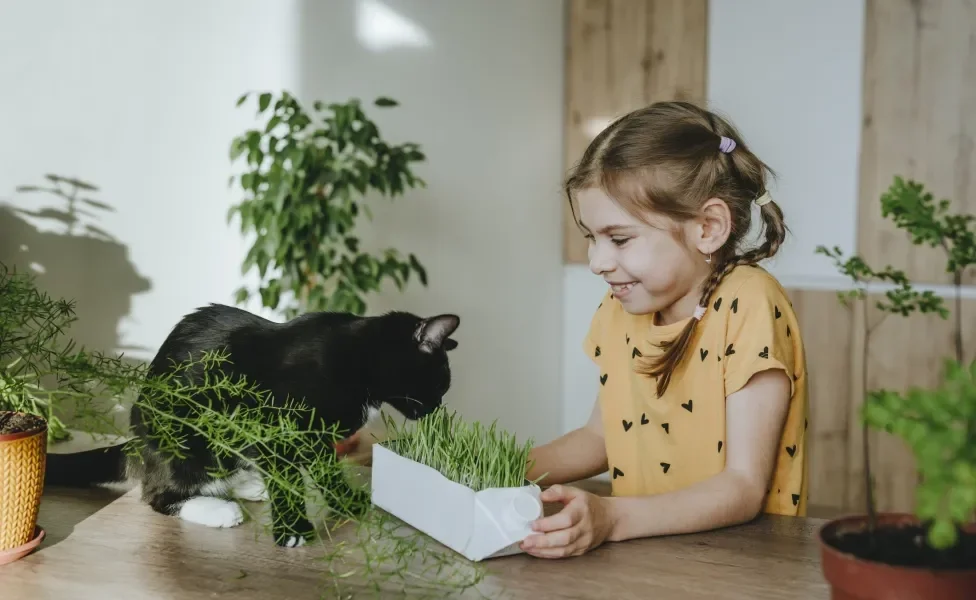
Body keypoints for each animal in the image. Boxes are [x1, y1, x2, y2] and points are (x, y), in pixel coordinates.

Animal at [44, 308, 458, 548]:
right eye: (440, 380)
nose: (437, 409)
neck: (357, 357)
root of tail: (139, 440)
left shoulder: (316, 440)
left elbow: (325, 473)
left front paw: (345, 502)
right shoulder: (274, 429)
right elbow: (290, 480)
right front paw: (292, 529)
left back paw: (248, 487)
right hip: (188, 443)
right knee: (157, 495)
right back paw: (219, 510)